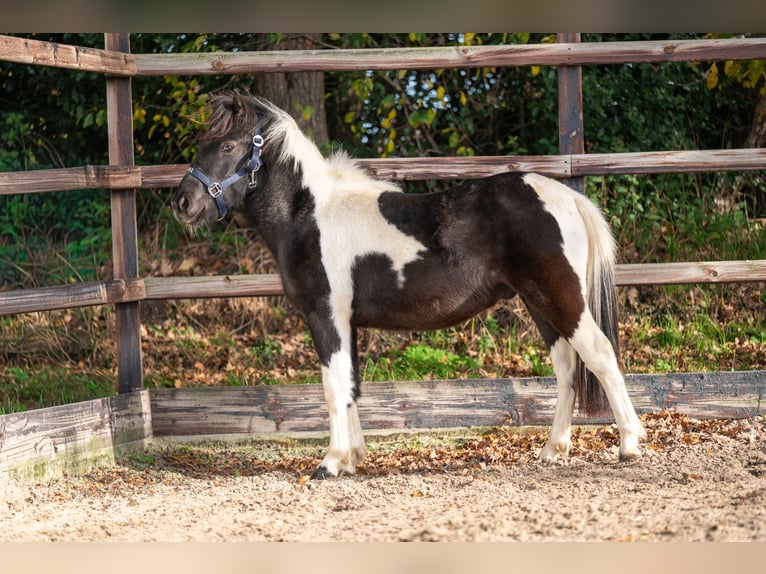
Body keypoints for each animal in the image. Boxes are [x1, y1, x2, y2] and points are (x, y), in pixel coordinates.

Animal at [171, 91, 646, 479]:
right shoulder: (346, 321)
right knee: (567, 369)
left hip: (562, 299)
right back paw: (552, 450)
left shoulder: (326, 314)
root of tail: (568, 197)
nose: (183, 203)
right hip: (539, 303)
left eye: (228, 146)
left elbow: (333, 386)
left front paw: (330, 463)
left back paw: (629, 445)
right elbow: (351, 385)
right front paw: (353, 459)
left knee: (601, 356)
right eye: (201, 144)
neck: (308, 215)